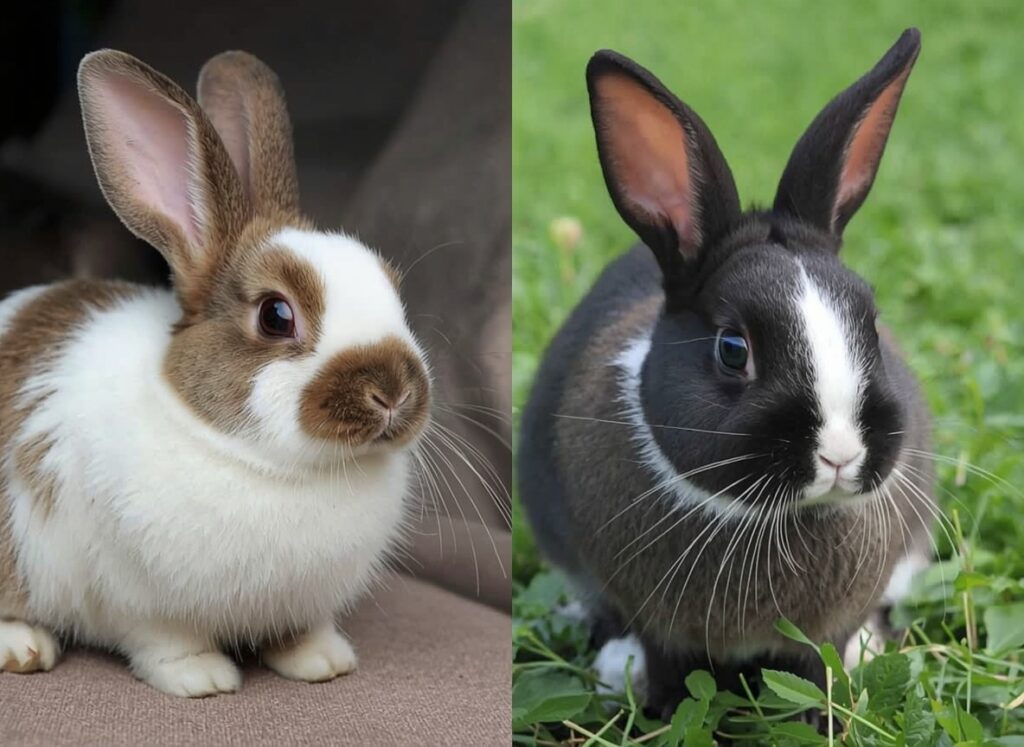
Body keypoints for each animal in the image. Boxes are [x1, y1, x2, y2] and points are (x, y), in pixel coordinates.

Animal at [0, 49, 431, 697]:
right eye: (276, 315)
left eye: (394, 290)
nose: (393, 394)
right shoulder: (139, 603)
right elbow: (165, 642)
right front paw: (202, 678)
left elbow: (300, 632)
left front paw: (324, 661)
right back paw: (24, 647)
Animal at [518, 28, 935, 721]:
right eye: (733, 349)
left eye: (872, 327)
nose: (840, 454)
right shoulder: (658, 625)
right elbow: (669, 669)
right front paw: (656, 707)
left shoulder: (824, 631)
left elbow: (818, 666)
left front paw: (824, 710)